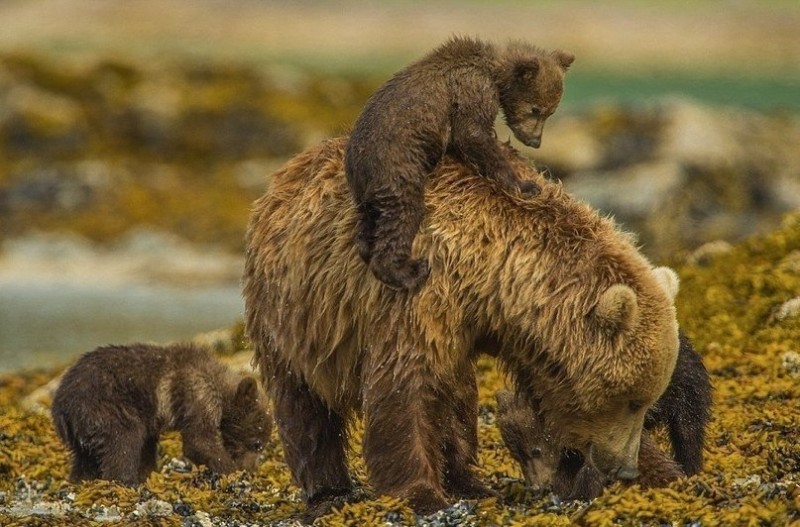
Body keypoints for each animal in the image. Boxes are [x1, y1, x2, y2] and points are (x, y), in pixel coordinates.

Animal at [242, 136, 676, 516]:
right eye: (631, 399)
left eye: (647, 401)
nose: (624, 467)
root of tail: (282, 176)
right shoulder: (415, 297)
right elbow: (403, 388)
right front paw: (422, 495)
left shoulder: (512, 334)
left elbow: (543, 395)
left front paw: (663, 472)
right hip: (294, 313)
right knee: (304, 406)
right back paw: (328, 491)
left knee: (456, 398)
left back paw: (469, 482)